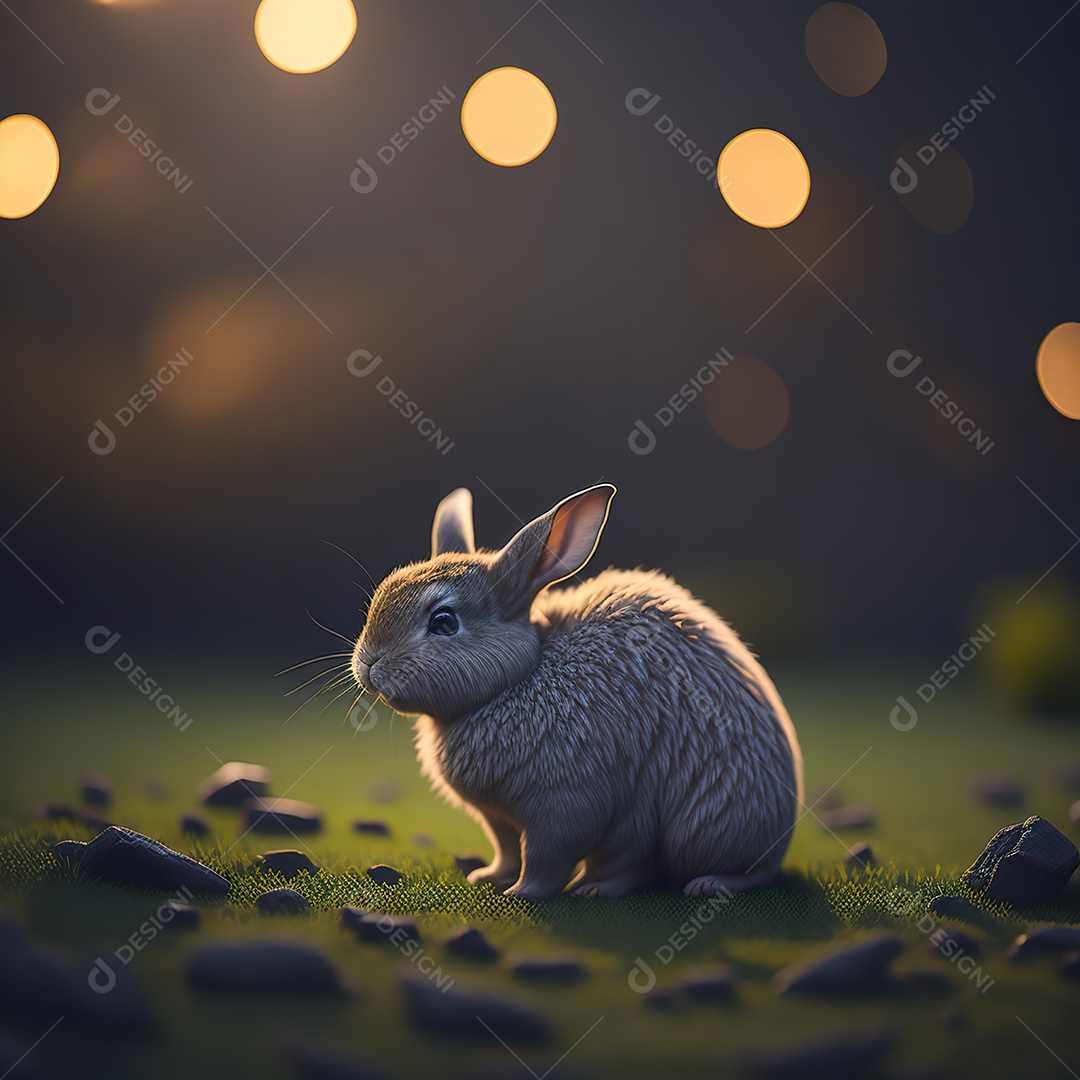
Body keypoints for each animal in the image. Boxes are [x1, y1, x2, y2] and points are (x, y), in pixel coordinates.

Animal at [351, 484, 804, 901]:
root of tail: (783, 829)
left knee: (713, 870)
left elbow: (545, 857)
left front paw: (520, 893)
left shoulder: (565, 800)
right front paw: (489, 877)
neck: (518, 678)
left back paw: (690, 884)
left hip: (695, 827)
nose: (369, 664)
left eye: (443, 621)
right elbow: (507, 850)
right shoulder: (498, 820)